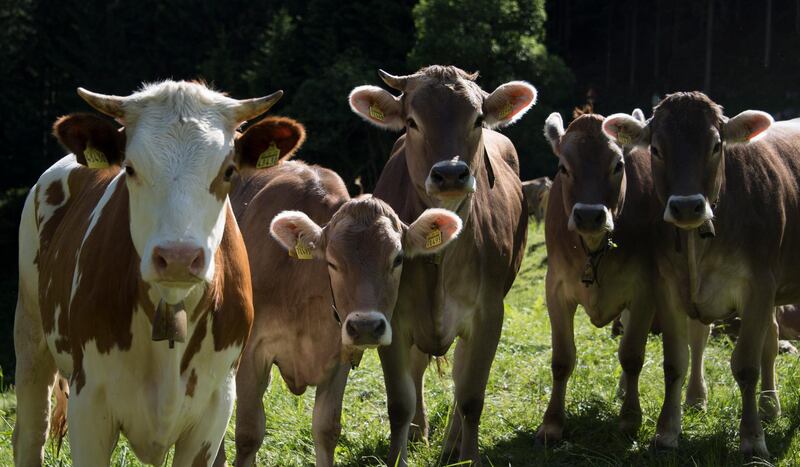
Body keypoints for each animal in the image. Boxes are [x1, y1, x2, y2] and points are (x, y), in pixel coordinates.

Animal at [11, 82, 278, 466]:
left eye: (228, 171)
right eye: (130, 168)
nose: (179, 257)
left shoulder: (215, 409)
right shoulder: (89, 403)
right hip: (30, 334)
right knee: (31, 435)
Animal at [346, 65, 536, 464]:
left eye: (477, 119)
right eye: (411, 122)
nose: (450, 173)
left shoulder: (488, 315)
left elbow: (471, 397)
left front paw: (470, 457)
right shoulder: (394, 317)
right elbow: (399, 403)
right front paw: (399, 455)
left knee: (462, 380)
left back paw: (451, 446)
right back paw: (421, 433)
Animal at [536, 110, 712, 450]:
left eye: (618, 165)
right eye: (564, 167)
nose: (589, 215)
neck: (594, 248)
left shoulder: (645, 289)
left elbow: (632, 355)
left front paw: (630, 418)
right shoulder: (556, 289)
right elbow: (562, 359)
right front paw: (551, 424)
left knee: (698, 337)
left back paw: (696, 396)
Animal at [608, 90, 800, 458]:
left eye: (715, 145)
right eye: (657, 148)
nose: (686, 206)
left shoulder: (759, 285)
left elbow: (747, 365)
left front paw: (752, 439)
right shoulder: (667, 285)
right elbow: (674, 362)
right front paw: (667, 433)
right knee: (769, 338)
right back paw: (769, 407)